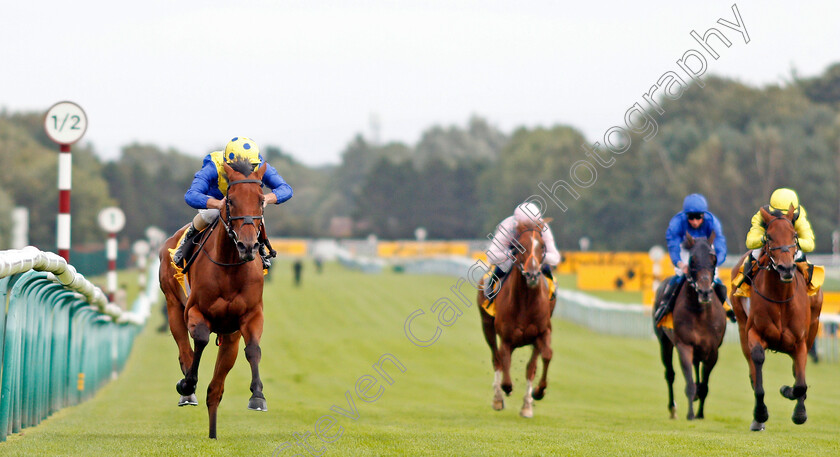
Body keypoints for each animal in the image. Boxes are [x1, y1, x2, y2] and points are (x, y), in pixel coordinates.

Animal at [160, 159, 270, 436]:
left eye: (261, 199)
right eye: (230, 200)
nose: (248, 246)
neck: (230, 266)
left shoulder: (251, 315)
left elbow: (253, 349)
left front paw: (257, 396)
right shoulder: (195, 310)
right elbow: (199, 340)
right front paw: (187, 384)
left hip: (230, 336)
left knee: (216, 389)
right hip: (172, 304)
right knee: (185, 350)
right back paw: (187, 392)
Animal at [476, 217, 556, 416]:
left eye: (542, 246)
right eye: (520, 246)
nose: (532, 274)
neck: (526, 303)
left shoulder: (543, 332)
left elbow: (544, 358)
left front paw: (537, 394)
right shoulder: (506, 338)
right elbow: (504, 365)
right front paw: (504, 391)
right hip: (486, 325)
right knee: (497, 359)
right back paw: (498, 398)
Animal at [652, 233, 724, 418]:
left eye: (714, 259)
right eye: (692, 260)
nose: (704, 292)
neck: (700, 312)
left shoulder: (713, 350)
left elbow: (704, 385)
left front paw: (700, 414)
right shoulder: (684, 345)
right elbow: (689, 382)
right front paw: (691, 414)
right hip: (664, 341)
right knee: (670, 374)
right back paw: (673, 409)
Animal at [732, 207, 824, 432]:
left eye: (794, 235)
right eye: (770, 236)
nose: (786, 268)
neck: (782, 298)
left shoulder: (800, 341)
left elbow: (799, 383)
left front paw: (798, 410)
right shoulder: (753, 332)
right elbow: (757, 365)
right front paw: (760, 414)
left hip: (813, 326)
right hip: (741, 326)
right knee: (752, 370)